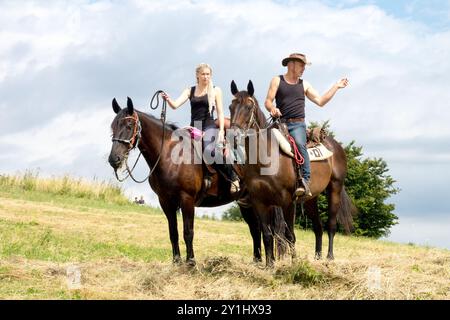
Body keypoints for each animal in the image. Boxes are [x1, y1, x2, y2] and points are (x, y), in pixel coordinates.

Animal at [107, 97, 262, 264]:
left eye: (129, 126)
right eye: (113, 127)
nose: (114, 159)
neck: (170, 156)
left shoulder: (186, 199)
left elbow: (188, 232)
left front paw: (191, 262)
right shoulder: (165, 202)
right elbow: (173, 233)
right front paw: (176, 262)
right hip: (244, 202)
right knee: (255, 228)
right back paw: (257, 261)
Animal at [230, 81, 356, 262]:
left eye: (248, 107)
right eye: (230, 107)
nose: (233, 136)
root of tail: (335, 145)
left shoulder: (288, 202)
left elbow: (289, 235)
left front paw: (293, 262)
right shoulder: (260, 201)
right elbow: (267, 235)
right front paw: (269, 264)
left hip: (335, 188)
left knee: (331, 225)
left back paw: (329, 257)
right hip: (311, 198)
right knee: (318, 227)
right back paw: (317, 258)